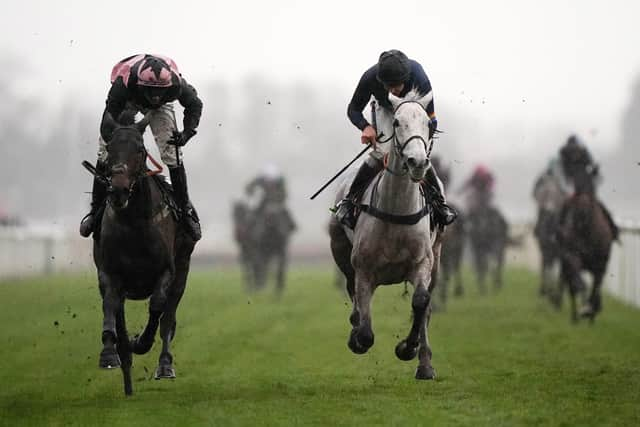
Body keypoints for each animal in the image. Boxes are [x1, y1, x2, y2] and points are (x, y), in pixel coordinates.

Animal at [90, 113, 195, 394]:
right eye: (110, 150)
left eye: (139, 149)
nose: (118, 190)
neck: (134, 222)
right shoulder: (109, 272)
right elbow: (110, 305)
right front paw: (109, 353)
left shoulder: (167, 271)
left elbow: (158, 307)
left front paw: (141, 342)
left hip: (183, 270)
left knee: (168, 318)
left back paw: (164, 364)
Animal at [328, 89, 442, 382]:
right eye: (398, 122)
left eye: (428, 124)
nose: (417, 162)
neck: (397, 208)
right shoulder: (364, 270)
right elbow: (365, 329)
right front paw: (357, 339)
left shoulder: (422, 262)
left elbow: (421, 302)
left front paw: (408, 348)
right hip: (340, 250)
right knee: (352, 292)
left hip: (437, 258)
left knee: (427, 309)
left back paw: (425, 364)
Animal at [556, 167, 616, 324]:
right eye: (576, 187)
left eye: (592, 188)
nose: (583, 208)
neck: (586, 230)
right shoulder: (572, 256)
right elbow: (578, 283)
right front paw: (585, 310)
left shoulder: (601, 265)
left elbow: (596, 290)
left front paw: (592, 312)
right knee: (572, 285)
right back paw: (575, 318)